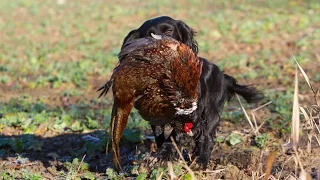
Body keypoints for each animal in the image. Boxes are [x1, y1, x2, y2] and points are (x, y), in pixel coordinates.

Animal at [114, 15, 262, 169]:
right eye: (149, 35)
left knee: (207, 136)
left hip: (212, 112)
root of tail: (222, 75)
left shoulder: (191, 115)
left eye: (169, 31)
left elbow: (174, 136)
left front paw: (164, 155)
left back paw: (201, 160)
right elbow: (160, 136)